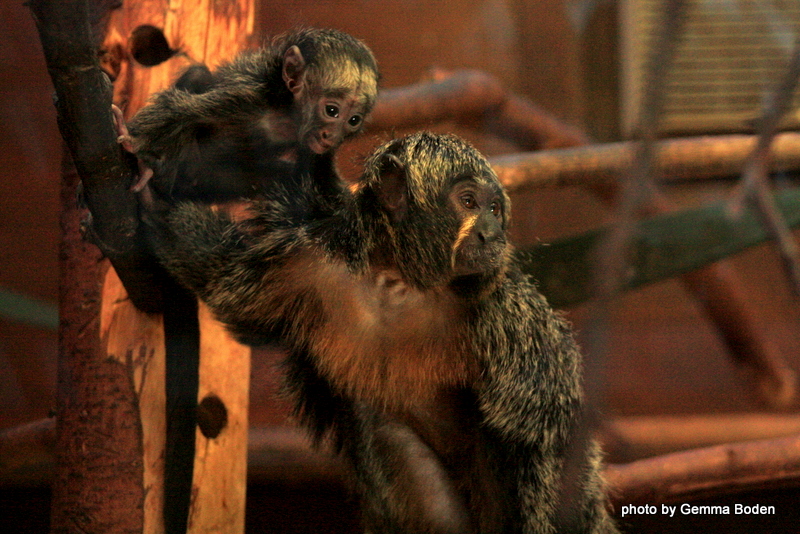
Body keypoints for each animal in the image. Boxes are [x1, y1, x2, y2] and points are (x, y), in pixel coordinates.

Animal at [117, 27, 379, 202]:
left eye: (353, 120)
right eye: (331, 111)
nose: (331, 136)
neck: (286, 120)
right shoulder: (245, 99)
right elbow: (183, 111)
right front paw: (135, 145)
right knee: (198, 76)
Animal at [145, 132, 619, 533]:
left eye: (495, 210)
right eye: (469, 202)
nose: (491, 233)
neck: (400, 279)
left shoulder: (507, 314)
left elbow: (552, 425)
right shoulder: (301, 265)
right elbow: (222, 279)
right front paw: (153, 198)